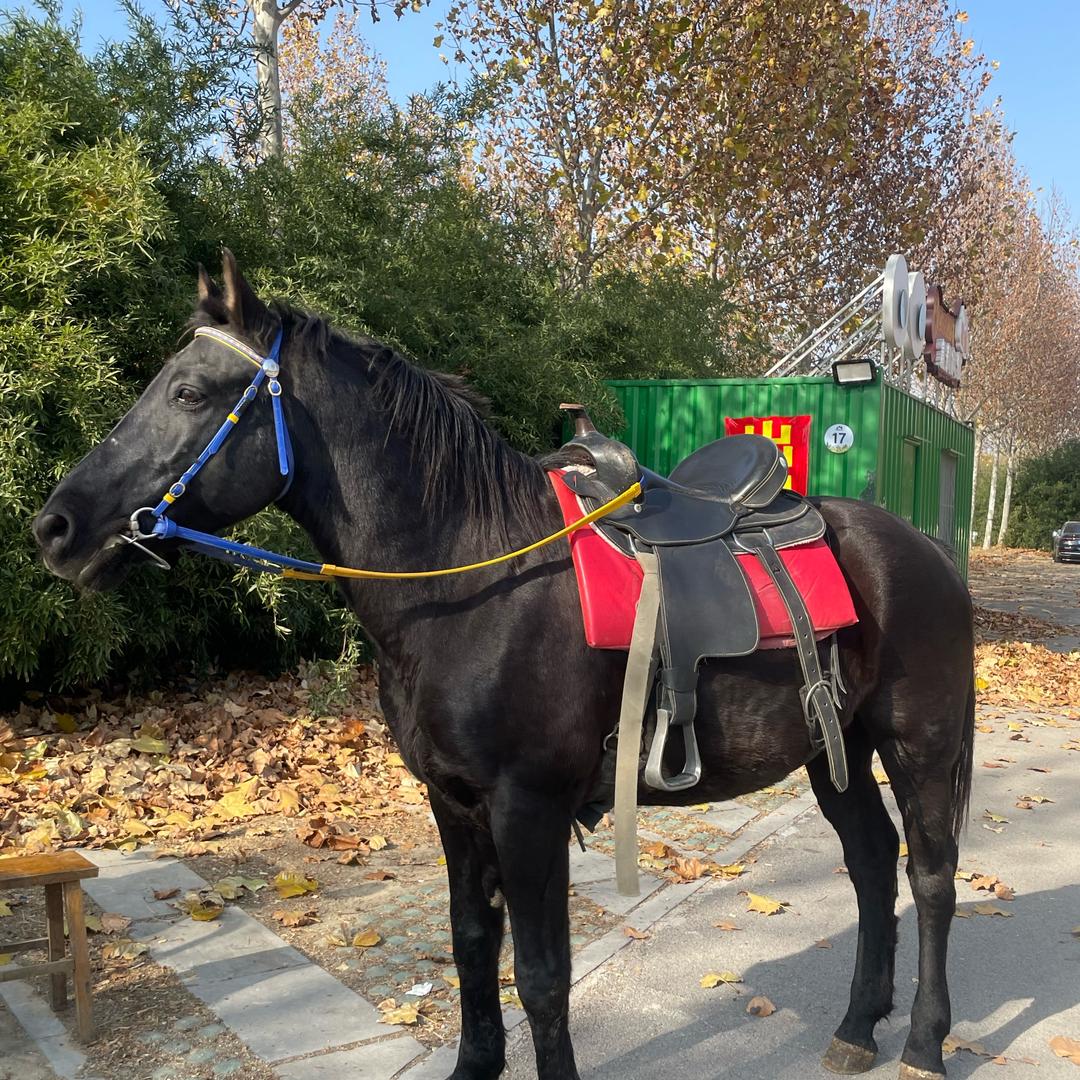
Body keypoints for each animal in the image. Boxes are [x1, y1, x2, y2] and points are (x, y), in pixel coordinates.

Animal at [34, 253, 974, 1080]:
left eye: (189, 393)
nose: (57, 526)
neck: (469, 577)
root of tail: (924, 547)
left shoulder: (529, 810)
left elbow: (544, 976)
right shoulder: (454, 806)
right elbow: (472, 947)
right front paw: (473, 1063)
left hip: (919, 747)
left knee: (929, 877)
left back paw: (924, 1043)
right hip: (831, 751)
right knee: (870, 863)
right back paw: (857, 1027)